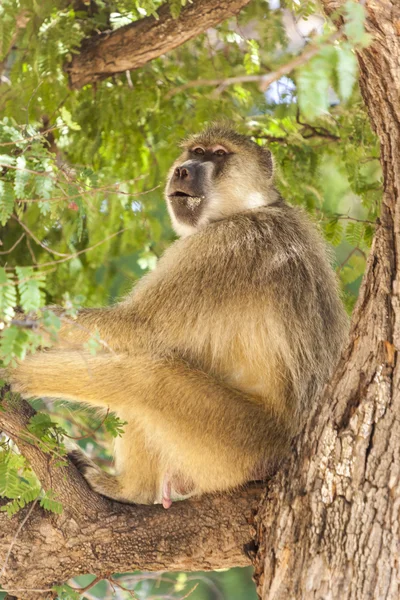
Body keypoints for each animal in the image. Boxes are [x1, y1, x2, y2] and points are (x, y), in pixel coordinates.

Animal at [3, 124, 346, 508]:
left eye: (219, 154)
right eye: (195, 151)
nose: (184, 170)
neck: (249, 208)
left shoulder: (221, 247)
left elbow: (137, 329)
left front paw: (17, 332)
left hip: (243, 443)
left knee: (146, 376)